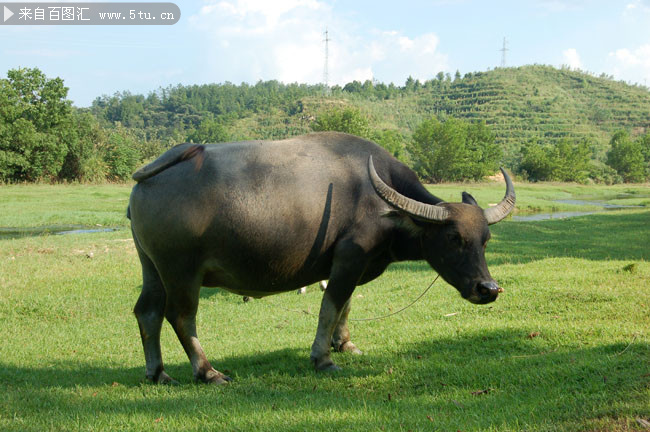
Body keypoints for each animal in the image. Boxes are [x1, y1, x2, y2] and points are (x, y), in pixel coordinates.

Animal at [126, 132, 512, 384]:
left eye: (486, 240)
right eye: (453, 238)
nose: (488, 289)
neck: (379, 201)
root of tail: (151, 175)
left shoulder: (350, 264)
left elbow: (347, 305)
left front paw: (345, 344)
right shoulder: (349, 258)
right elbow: (331, 305)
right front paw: (323, 358)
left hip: (152, 268)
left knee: (147, 312)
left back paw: (158, 373)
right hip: (181, 271)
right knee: (181, 316)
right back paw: (208, 372)